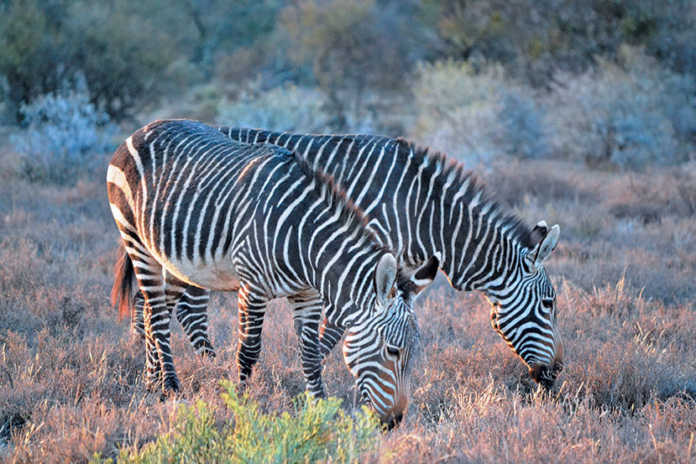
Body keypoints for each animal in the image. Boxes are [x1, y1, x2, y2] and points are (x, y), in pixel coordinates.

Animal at [107, 119, 439, 426]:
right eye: (392, 351)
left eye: (413, 355)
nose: (394, 422)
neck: (303, 239)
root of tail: (144, 128)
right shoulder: (252, 288)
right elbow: (249, 351)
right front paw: (240, 404)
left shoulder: (308, 295)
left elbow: (310, 353)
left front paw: (318, 409)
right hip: (136, 241)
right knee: (157, 316)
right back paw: (169, 387)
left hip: (176, 260)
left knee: (153, 310)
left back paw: (152, 383)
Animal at [137, 126, 565, 390]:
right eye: (549, 303)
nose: (558, 371)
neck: (421, 211)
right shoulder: (353, 259)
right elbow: (336, 329)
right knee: (173, 307)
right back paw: (179, 374)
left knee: (153, 305)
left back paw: (154, 377)